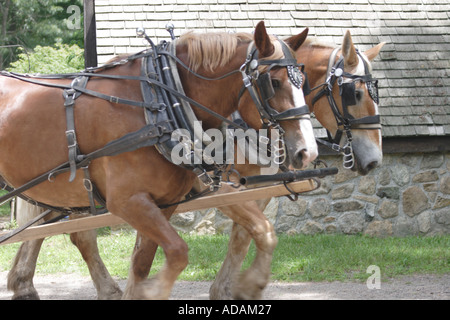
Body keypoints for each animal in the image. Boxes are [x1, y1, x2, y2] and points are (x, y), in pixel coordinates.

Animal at [2, 22, 316, 300]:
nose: (308, 152)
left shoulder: (167, 202)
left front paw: (247, 285)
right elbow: (178, 252)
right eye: (273, 82)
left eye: (303, 82)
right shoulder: (129, 201)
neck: (159, 105)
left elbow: (143, 261)